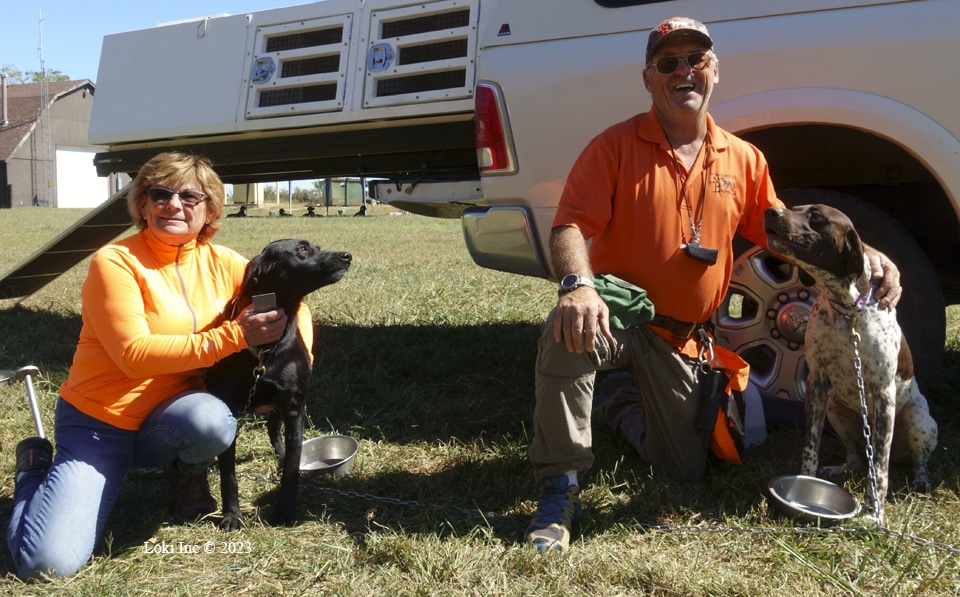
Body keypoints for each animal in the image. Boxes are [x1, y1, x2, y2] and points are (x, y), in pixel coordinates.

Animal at [204, 239, 350, 532]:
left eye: (317, 247)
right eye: (302, 250)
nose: (347, 255)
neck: (265, 350)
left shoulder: (294, 406)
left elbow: (293, 466)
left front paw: (284, 510)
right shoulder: (231, 410)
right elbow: (229, 474)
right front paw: (231, 515)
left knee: (274, 429)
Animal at [764, 203, 936, 506]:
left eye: (816, 217)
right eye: (794, 209)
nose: (771, 211)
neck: (846, 311)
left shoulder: (883, 393)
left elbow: (879, 466)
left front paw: (874, 507)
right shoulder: (818, 383)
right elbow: (810, 446)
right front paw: (804, 482)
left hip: (918, 419)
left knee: (915, 461)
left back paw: (920, 480)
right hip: (835, 405)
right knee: (857, 459)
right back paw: (840, 468)